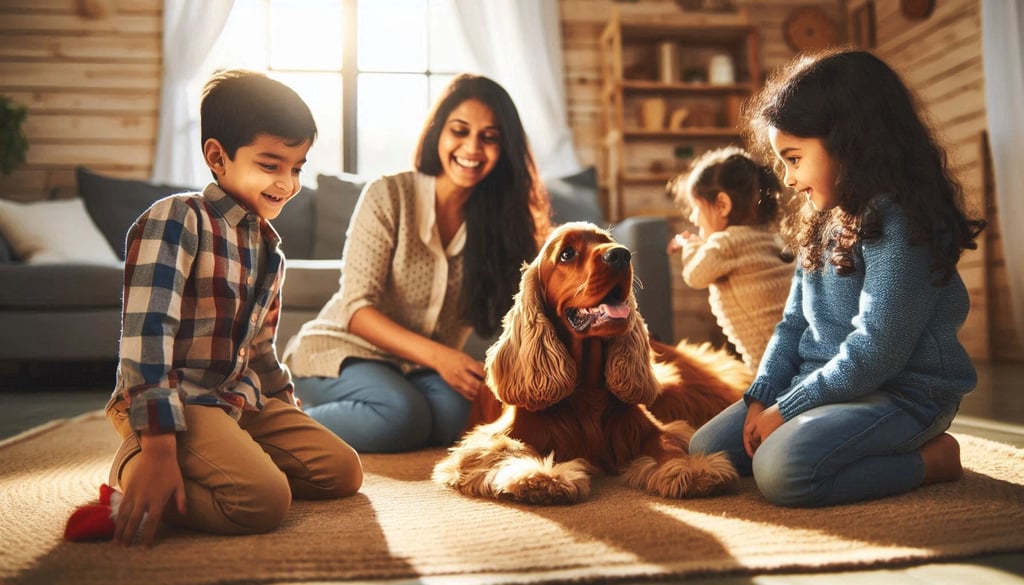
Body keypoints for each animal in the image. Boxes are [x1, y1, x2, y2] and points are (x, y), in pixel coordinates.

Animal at [432, 222, 753, 506]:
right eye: (567, 254)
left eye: (608, 240)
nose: (622, 254)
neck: (585, 388)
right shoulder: (492, 437)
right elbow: (507, 450)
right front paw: (539, 477)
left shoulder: (649, 428)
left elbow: (669, 442)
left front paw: (690, 469)